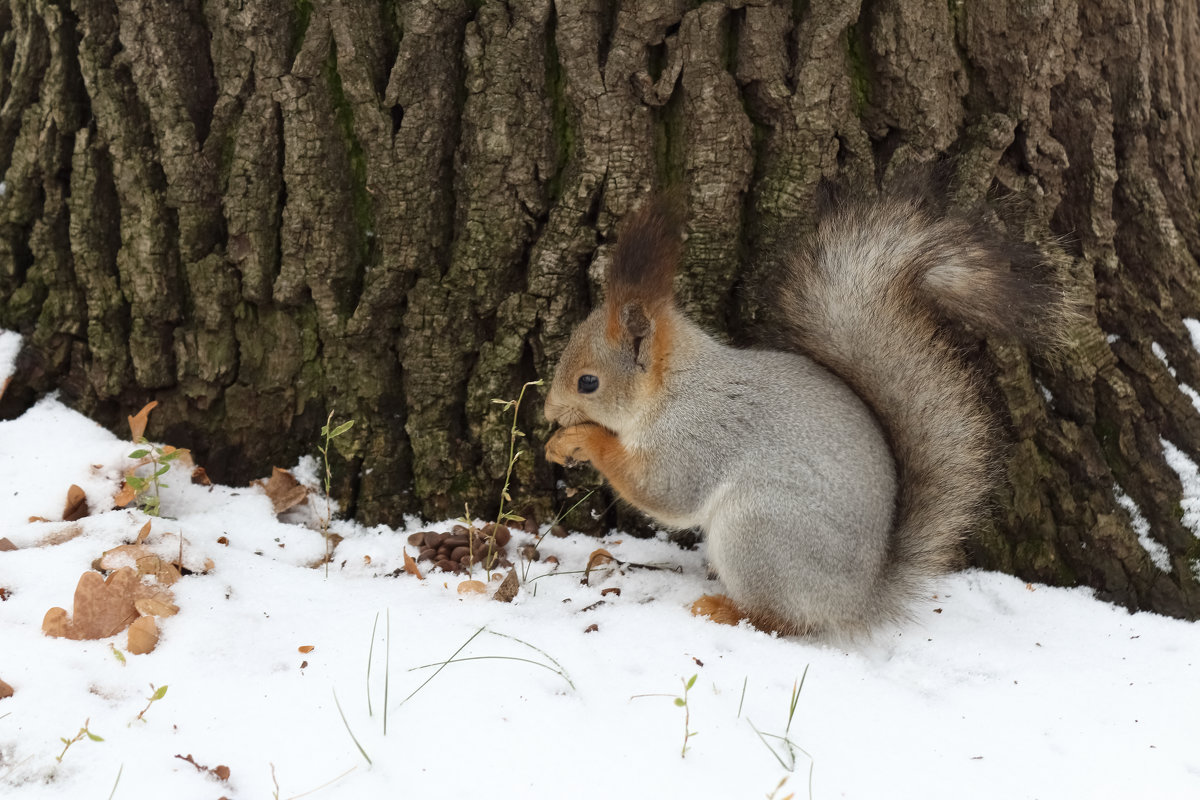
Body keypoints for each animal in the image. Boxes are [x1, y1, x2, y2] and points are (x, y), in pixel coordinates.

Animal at [544, 181, 1060, 638]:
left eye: (588, 382)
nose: (549, 413)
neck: (674, 388)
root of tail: (857, 603)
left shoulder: (700, 436)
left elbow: (663, 491)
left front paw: (581, 440)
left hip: (758, 533)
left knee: (785, 621)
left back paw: (726, 611)